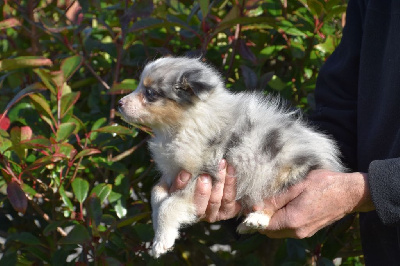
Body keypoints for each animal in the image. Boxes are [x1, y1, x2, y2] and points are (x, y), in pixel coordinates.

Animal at [118, 56, 344, 258]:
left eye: (150, 93)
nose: (119, 103)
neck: (181, 126)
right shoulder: (174, 173)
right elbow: (156, 194)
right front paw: (159, 232)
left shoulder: (205, 175)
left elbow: (169, 205)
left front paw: (162, 242)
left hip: (280, 174)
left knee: (271, 200)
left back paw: (257, 219)